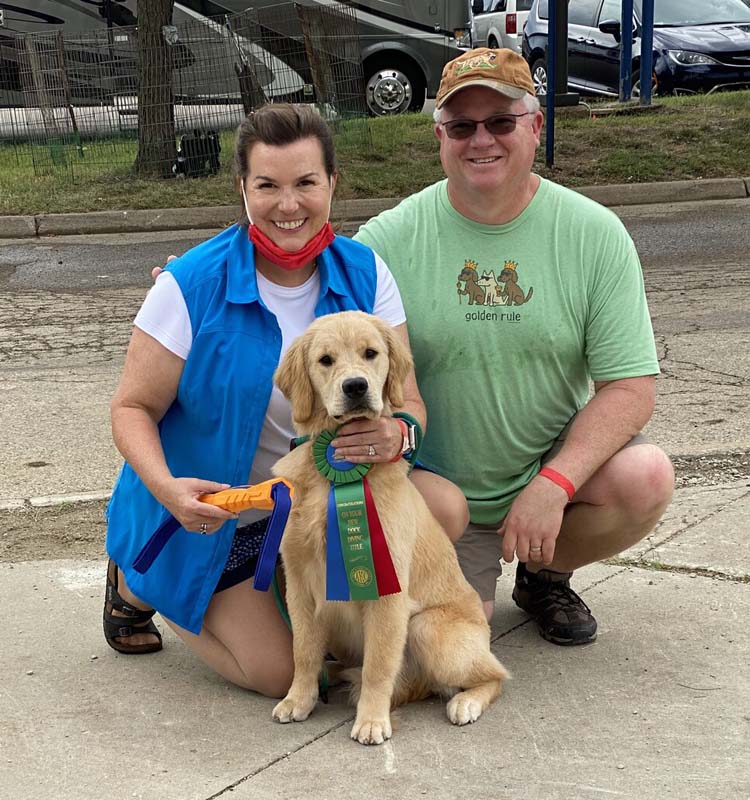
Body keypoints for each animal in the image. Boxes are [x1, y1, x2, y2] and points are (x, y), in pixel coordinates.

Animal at [272, 310, 512, 744]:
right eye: (325, 360)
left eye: (371, 353)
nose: (355, 387)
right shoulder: (298, 583)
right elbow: (303, 649)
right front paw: (298, 699)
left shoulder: (388, 590)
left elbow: (378, 665)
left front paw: (371, 720)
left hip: (427, 627)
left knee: (497, 674)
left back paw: (465, 703)